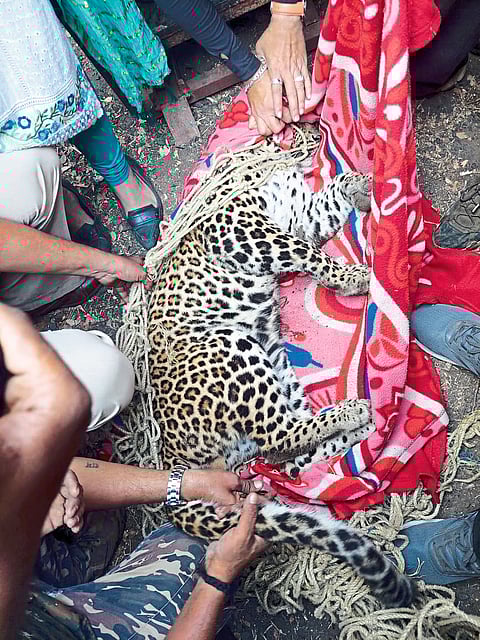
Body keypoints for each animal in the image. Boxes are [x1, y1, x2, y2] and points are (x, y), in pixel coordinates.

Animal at [147, 161, 417, 609]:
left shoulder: (297, 217)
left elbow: (328, 201)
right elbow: (307, 253)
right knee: (281, 436)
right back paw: (356, 413)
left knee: (284, 456)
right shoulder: (246, 227)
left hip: (273, 361)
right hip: (232, 346)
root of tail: (171, 459)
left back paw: (358, 428)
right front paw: (354, 277)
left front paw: (361, 185)